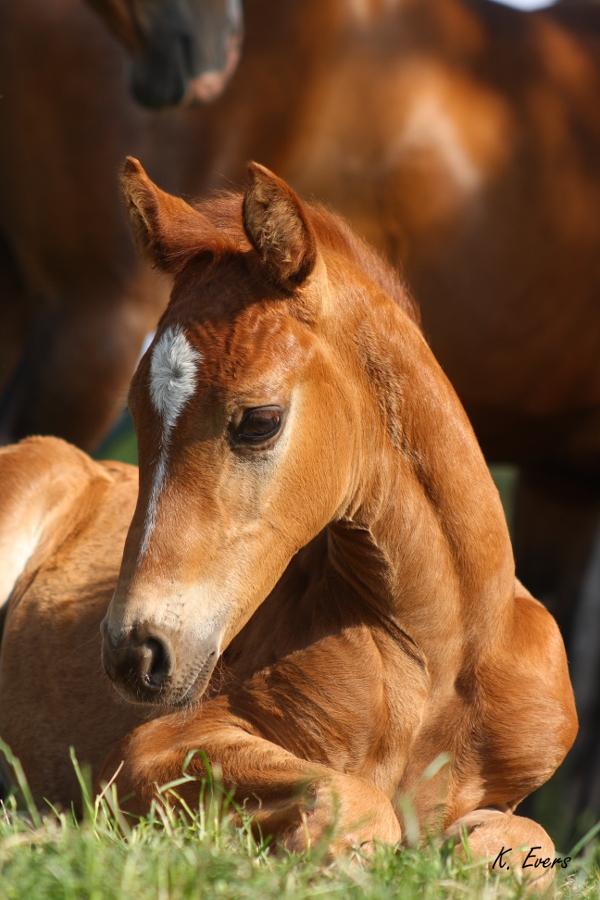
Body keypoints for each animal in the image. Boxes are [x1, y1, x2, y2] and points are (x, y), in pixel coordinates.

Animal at [0, 158, 580, 884]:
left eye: (260, 421)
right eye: (133, 412)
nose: (135, 653)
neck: (440, 654)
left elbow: (521, 842)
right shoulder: (147, 749)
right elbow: (360, 805)